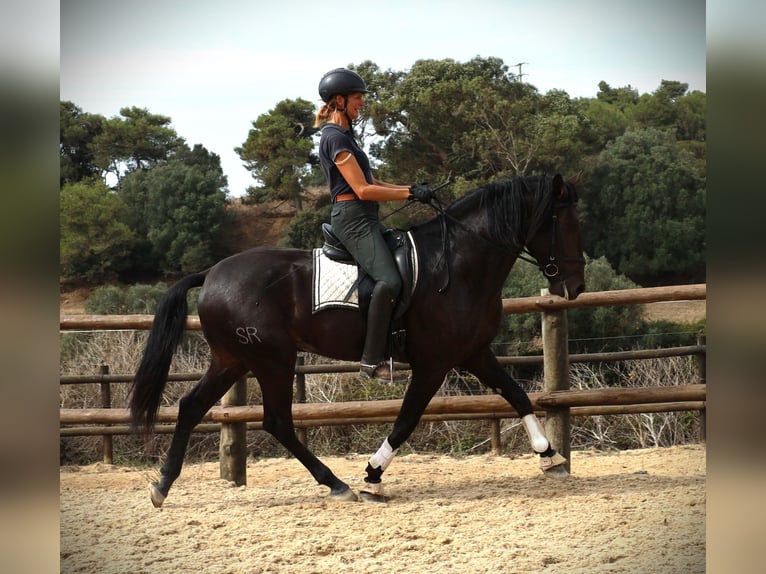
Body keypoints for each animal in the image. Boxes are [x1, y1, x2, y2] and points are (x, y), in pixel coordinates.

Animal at [132, 173, 588, 506]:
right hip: (271, 359)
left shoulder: (474, 352)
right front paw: (372, 476)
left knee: (192, 407)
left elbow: (517, 394)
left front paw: (550, 456)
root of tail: (210, 274)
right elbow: (406, 420)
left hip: (233, 360)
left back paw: (162, 485)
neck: (457, 263)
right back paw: (337, 483)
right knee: (277, 421)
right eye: (566, 223)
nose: (577, 286)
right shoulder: (434, 363)